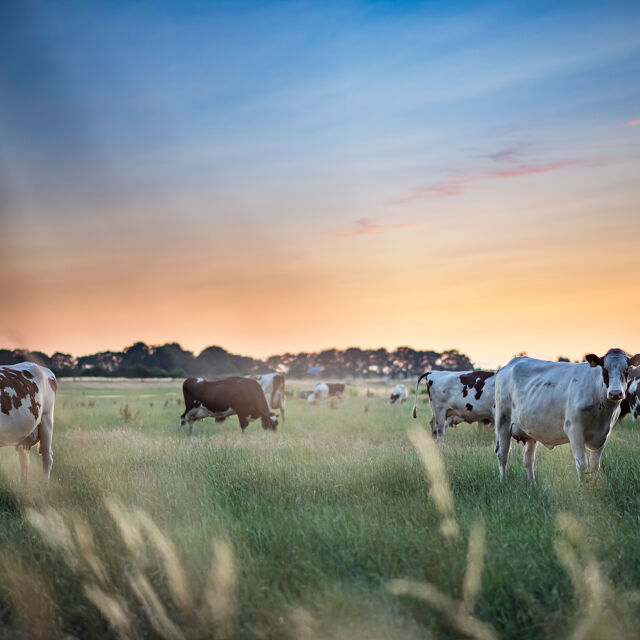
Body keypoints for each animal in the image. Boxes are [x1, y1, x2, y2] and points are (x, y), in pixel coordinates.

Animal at [494, 349, 640, 483]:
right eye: (604, 369)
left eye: (626, 369)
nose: (615, 393)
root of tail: (511, 363)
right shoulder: (574, 430)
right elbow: (582, 465)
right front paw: (583, 490)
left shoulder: (604, 434)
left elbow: (594, 465)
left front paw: (593, 487)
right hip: (503, 422)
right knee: (503, 455)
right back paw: (503, 482)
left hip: (529, 430)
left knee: (528, 458)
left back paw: (532, 484)